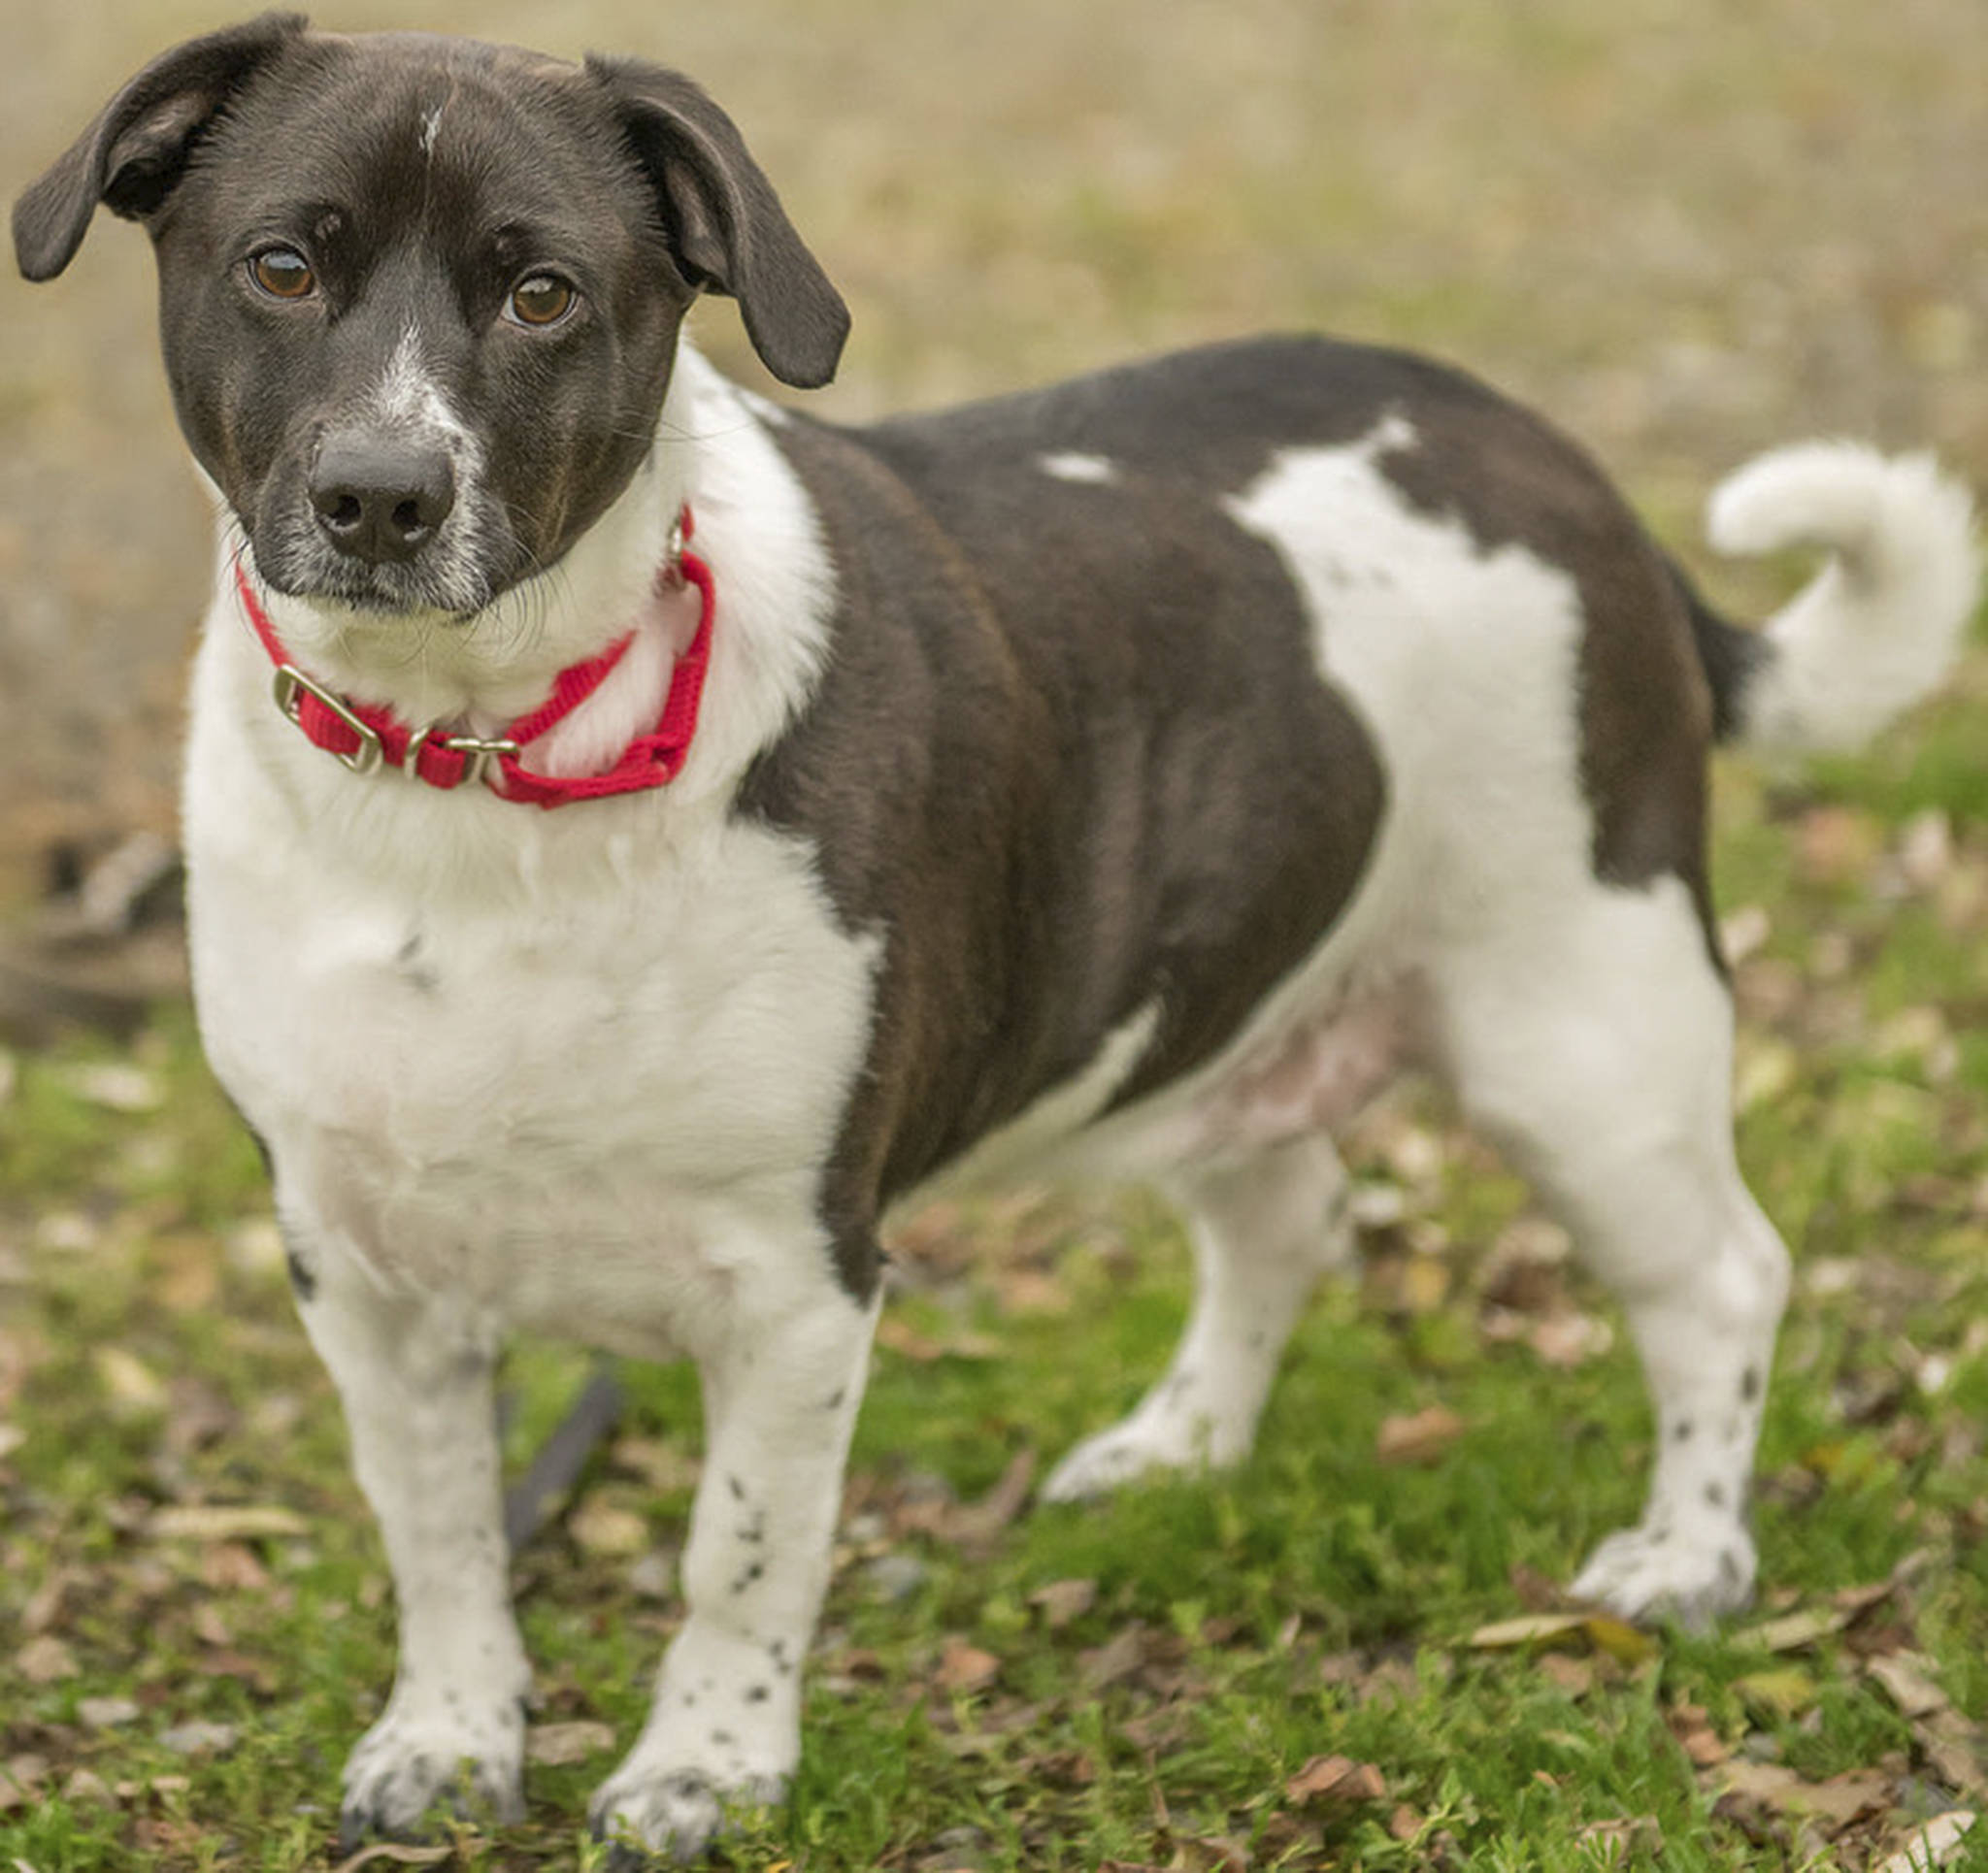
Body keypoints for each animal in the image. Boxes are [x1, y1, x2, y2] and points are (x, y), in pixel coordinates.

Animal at [16, 11, 1988, 1860]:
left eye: (542, 292)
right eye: (282, 265)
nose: (377, 497)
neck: (480, 765)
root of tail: (1582, 492)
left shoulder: (799, 1277)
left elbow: (739, 1552)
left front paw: (704, 1769)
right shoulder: (357, 1270)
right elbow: (434, 1537)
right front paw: (447, 1739)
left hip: (1583, 1028)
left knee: (1720, 1280)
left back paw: (1685, 1559)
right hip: (1222, 997)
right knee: (1291, 1212)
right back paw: (1180, 1450)